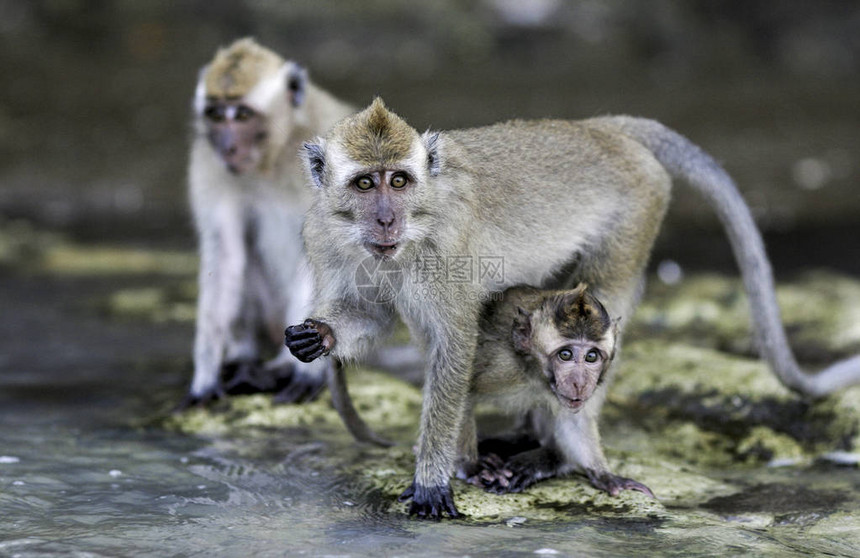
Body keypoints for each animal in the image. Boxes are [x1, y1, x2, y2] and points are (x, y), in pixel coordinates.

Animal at [183, 37, 354, 410]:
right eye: (216, 115)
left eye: (243, 115)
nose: (228, 146)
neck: (273, 155)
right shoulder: (209, 163)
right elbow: (225, 256)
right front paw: (205, 378)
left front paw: (304, 370)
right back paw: (245, 362)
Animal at [288, 97, 860, 520]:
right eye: (366, 183)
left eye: (399, 181)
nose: (386, 220)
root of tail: (600, 128)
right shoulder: (323, 234)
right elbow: (376, 315)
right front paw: (319, 335)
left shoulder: (445, 252)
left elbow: (454, 344)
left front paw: (435, 476)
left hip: (637, 212)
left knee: (602, 299)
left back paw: (557, 456)